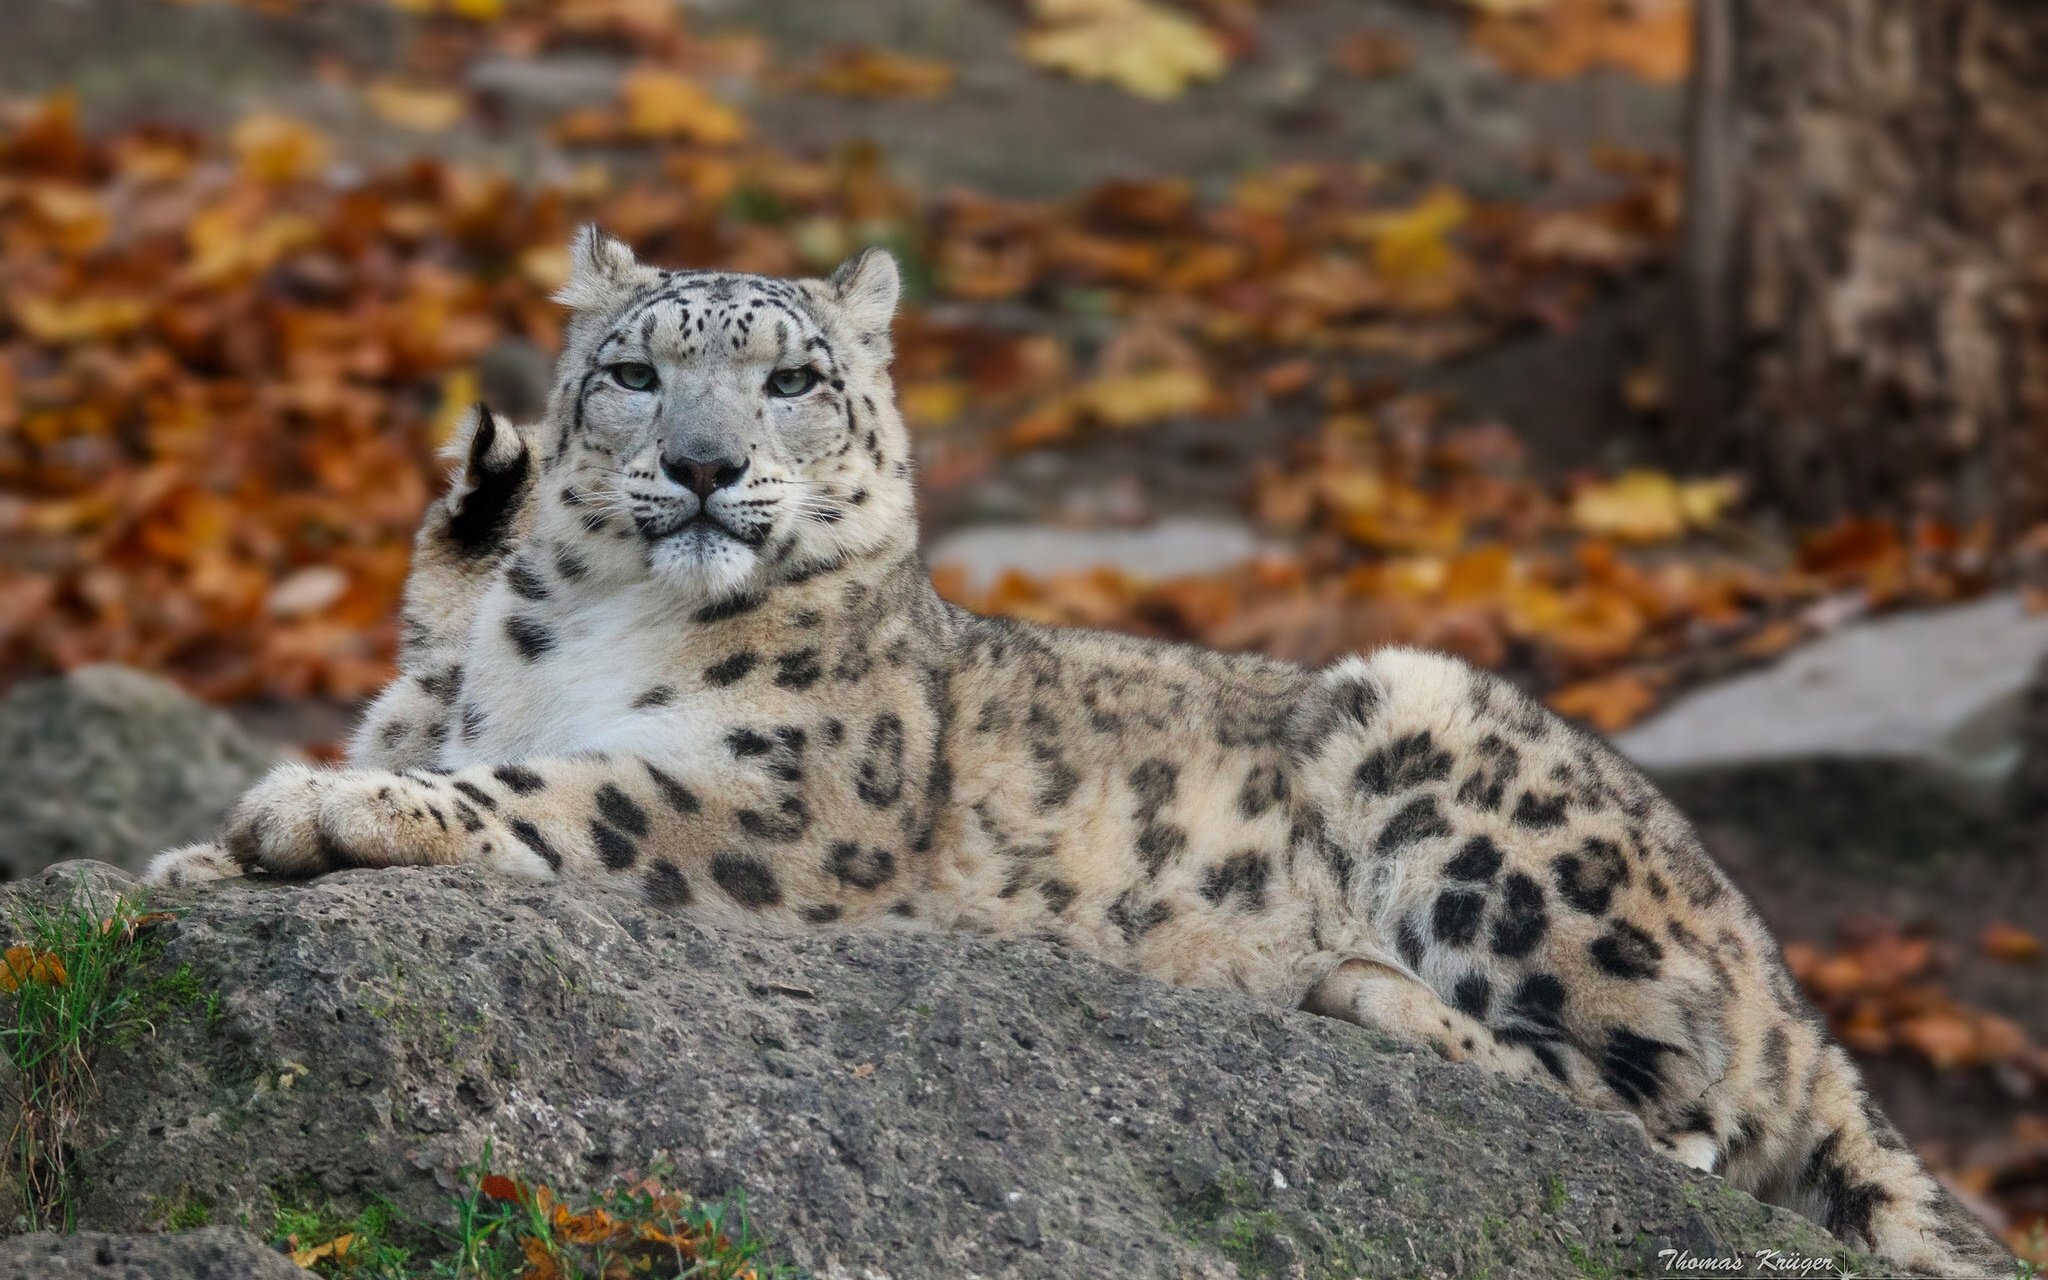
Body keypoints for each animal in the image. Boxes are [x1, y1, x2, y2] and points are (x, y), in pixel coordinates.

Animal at [149, 228, 2016, 1277]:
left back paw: (1343, 983)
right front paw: (192, 849)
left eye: (791, 377)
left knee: (1666, 1117)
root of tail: (1775, 967)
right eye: (633, 371)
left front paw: (304, 806)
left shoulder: (774, 798)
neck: (580, 629)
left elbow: (543, 792)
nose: (699, 466)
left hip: (1446, 754)